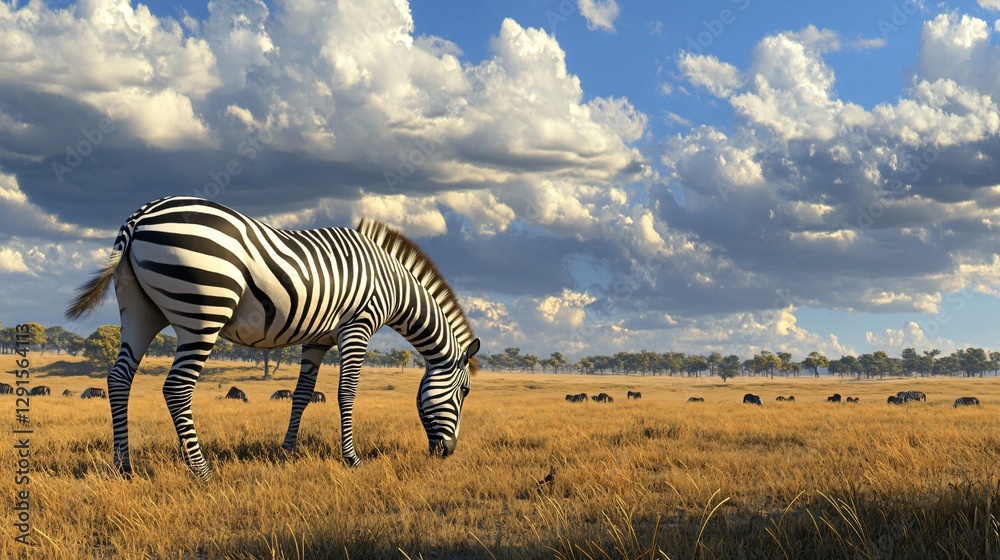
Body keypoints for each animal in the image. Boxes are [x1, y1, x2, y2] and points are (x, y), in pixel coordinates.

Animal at [65, 196, 480, 480]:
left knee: (119, 378)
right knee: (177, 387)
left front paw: (288, 451)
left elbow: (302, 393)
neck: (393, 283)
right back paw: (202, 471)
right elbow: (347, 393)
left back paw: (124, 466)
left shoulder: (318, 339)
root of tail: (139, 217)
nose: (448, 453)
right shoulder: (357, 326)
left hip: (140, 311)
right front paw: (352, 459)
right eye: (464, 392)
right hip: (203, 312)